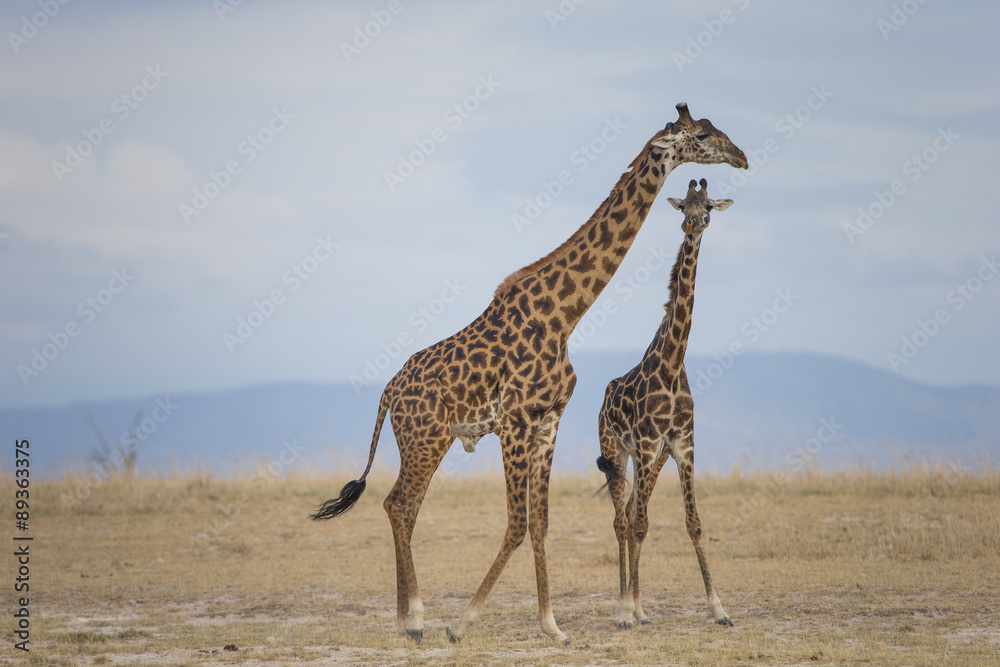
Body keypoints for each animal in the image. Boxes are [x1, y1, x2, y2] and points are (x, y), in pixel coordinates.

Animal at [596, 178, 734, 630]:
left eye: (707, 206)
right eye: (682, 206)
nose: (692, 224)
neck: (673, 365)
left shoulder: (682, 444)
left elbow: (694, 524)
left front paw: (719, 609)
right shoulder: (645, 443)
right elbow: (638, 525)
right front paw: (625, 611)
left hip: (652, 459)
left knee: (633, 512)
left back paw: (639, 606)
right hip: (617, 451)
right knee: (622, 520)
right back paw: (625, 606)